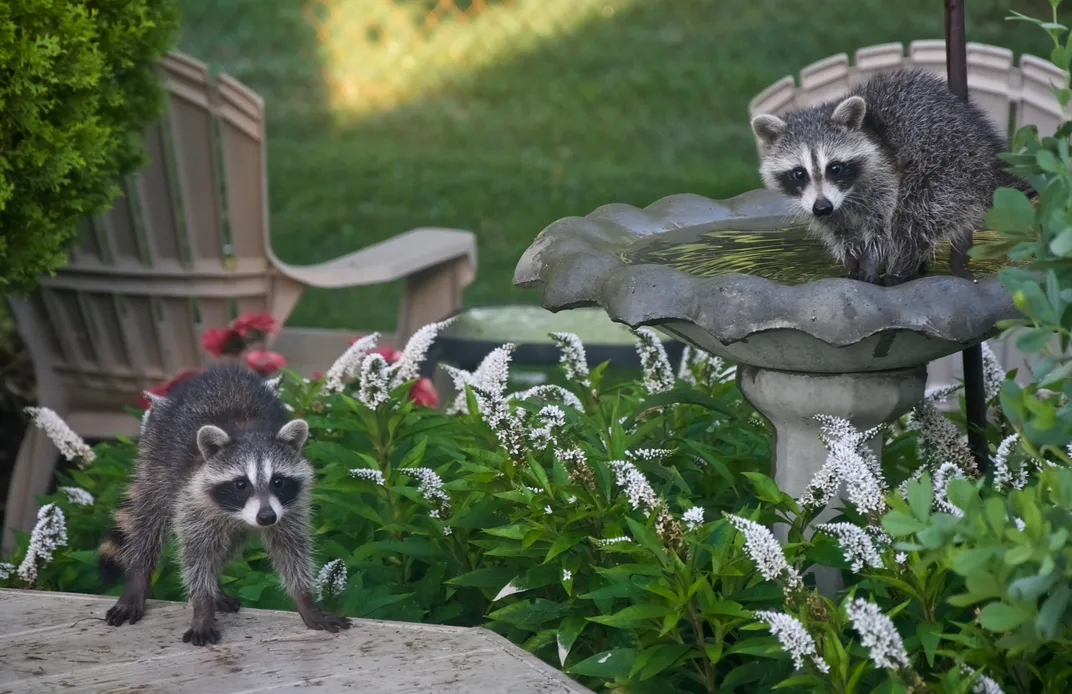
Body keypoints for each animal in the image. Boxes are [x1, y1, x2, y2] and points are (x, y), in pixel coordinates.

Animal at [99, 364, 351, 646]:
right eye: (241, 484)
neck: (249, 430)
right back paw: (139, 576)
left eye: (278, 481)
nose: (266, 518)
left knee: (226, 544)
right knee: (149, 522)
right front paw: (202, 606)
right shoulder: (193, 497)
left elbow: (291, 549)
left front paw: (305, 600)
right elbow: (196, 555)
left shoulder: (290, 507)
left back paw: (216, 589)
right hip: (156, 460)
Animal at [750, 68, 1030, 285]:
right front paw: (852, 266)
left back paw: (900, 272)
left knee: (912, 220)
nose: (822, 207)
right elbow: (841, 234)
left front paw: (871, 265)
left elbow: (883, 229)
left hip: (949, 170)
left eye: (835, 168)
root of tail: (992, 159)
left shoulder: (884, 175)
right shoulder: (821, 207)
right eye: (799, 173)